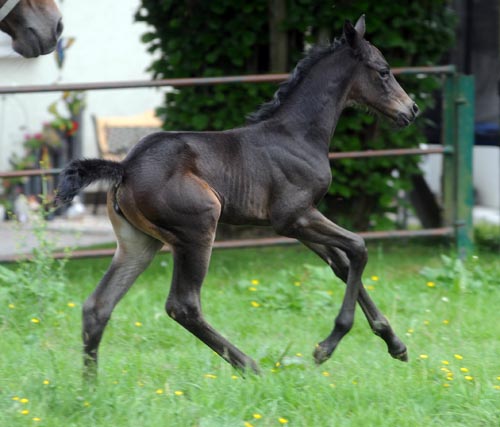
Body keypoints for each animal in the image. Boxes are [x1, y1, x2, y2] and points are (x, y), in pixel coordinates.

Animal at [56, 15, 420, 376]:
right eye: (383, 71)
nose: (412, 109)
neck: (297, 135)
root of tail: (124, 168)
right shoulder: (294, 216)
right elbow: (359, 247)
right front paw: (327, 346)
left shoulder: (298, 223)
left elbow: (342, 264)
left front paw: (396, 345)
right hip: (199, 227)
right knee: (183, 305)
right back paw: (252, 368)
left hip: (138, 243)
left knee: (98, 306)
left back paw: (90, 388)